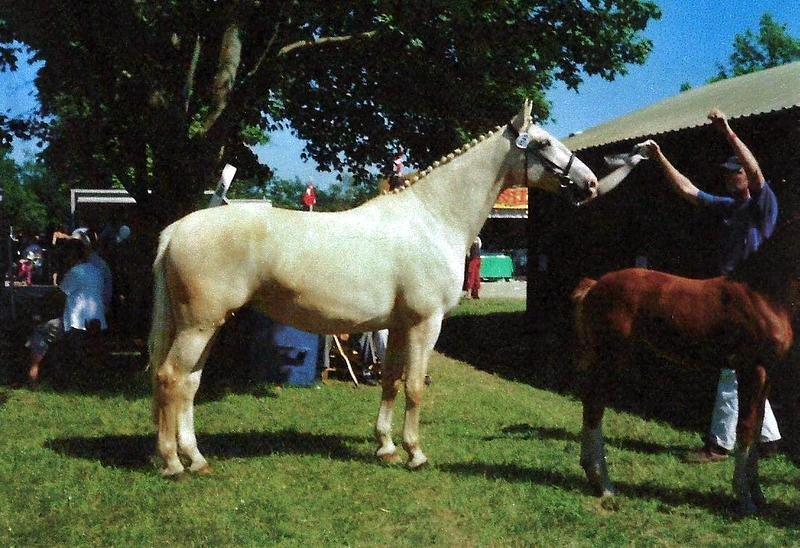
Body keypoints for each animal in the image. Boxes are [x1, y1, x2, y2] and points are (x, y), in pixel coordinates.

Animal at [148, 100, 600, 478]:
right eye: (543, 142)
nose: (591, 182)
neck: (432, 218)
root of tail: (176, 230)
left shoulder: (397, 326)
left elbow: (390, 381)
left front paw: (386, 447)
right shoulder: (425, 324)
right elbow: (415, 386)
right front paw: (416, 453)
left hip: (206, 325)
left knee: (189, 383)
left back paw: (197, 458)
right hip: (198, 327)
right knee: (170, 378)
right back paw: (172, 463)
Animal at [572, 216, 796, 516]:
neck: (764, 293)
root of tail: (594, 285)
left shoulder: (766, 374)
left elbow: (758, 424)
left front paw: (759, 495)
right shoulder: (752, 369)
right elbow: (747, 428)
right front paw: (745, 500)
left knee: (590, 404)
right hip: (612, 358)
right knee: (595, 407)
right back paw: (604, 484)